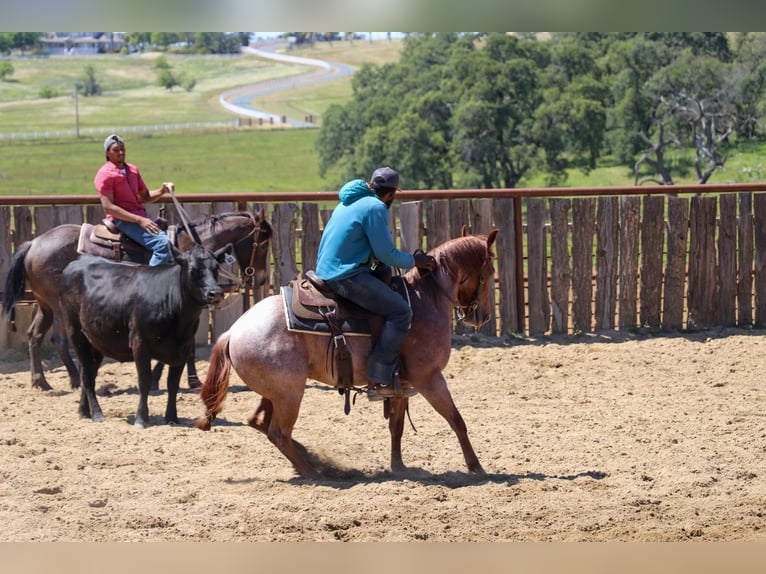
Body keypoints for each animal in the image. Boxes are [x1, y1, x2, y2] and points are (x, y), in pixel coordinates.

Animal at [1, 209, 272, 394]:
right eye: (263, 242)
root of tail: (34, 243)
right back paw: (76, 379)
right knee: (59, 338)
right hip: (59, 306)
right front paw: (170, 379)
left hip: (44, 304)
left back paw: (41, 381)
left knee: (34, 335)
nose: (260, 278)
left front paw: (186, 379)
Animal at [59, 243, 230, 428]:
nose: (215, 293)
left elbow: (173, 384)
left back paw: (84, 411)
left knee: (89, 373)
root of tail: (77, 261)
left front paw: (172, 417)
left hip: (97, 342)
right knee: (86, 376)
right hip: (77, 335)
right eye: (193, 270)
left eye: (216, 268)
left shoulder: (183, 349)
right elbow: (145, 381)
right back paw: (97, 414)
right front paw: (141, 418)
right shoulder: (140, 344)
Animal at [195, 231, 500, 482]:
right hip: (290, 393)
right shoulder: (429, 378)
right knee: (278, 432)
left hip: (276, 392)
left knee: (260, 422)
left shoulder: (402, 385)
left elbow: (397, 426)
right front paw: (476, 467)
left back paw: (312, 460)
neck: (425, 299)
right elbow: (456, 419)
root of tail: (233, 331)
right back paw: (314, 472)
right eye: (489, 271)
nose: (482, 317)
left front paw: (399, 467)